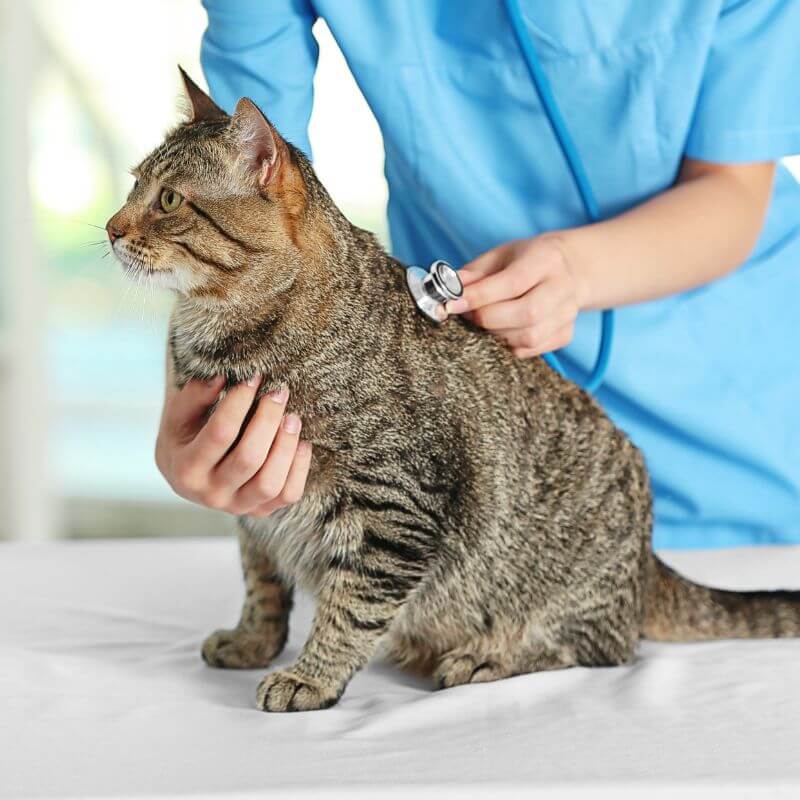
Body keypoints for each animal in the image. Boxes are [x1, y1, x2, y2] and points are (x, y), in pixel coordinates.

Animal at [108, 70, 800, 712]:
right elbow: (262, 584)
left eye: (168, 198)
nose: (111, 228)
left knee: (601, 649)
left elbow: (351, 609)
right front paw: (253, 641)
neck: (218, 333)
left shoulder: (395, 509)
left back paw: (488, 658)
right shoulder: (256, 508)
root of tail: (649, 561)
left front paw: (312, 676)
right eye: (133, 183)